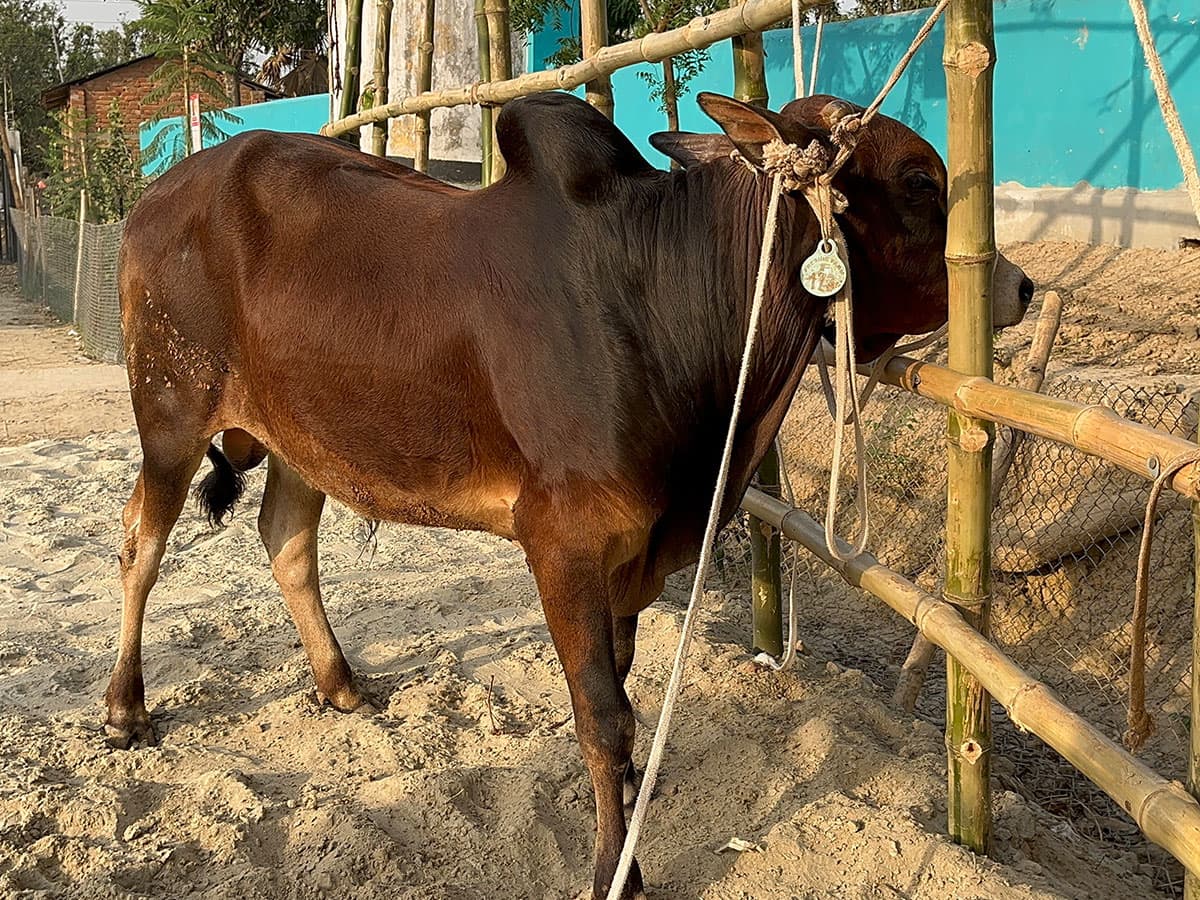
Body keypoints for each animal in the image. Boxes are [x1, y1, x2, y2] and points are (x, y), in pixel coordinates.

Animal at [108, 90, 1032, 899]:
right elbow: (604, 715)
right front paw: (614, 870)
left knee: (285, 540)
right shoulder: (564, 544)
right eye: (919, 179)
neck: (664, 296)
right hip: (169, 412)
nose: (1019, 286)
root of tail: (154, 193)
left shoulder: (632, 554)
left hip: (301, 440)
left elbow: (620, 699)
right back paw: (125, 709)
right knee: (139, 545)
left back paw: (339, 683)